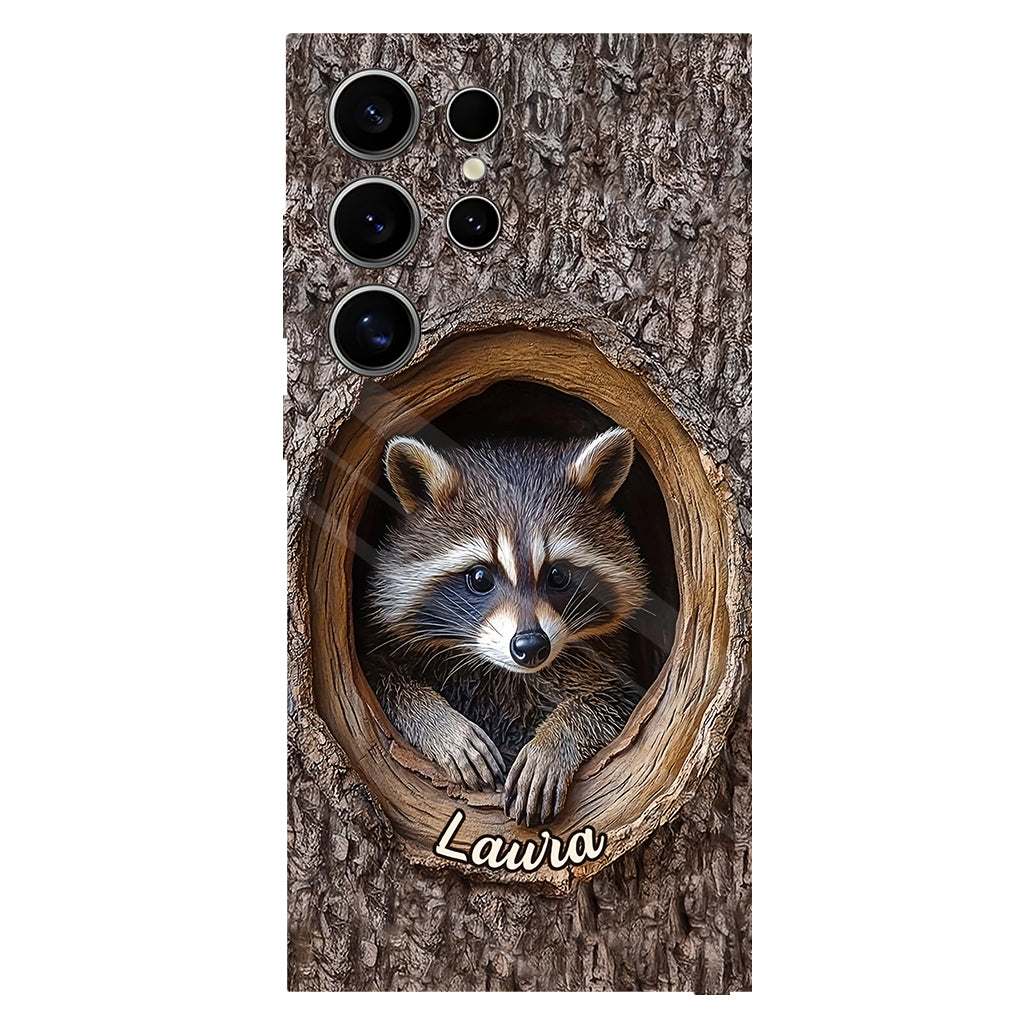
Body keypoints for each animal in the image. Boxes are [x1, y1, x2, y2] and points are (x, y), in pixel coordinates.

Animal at [364, 426, 648, 826]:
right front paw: (441, 724)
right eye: (480, 577)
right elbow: (384, 681)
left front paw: (554, 740)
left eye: (557, 575)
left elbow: (612, 701)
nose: (530, 646)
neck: (506, 673)